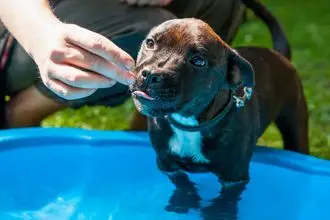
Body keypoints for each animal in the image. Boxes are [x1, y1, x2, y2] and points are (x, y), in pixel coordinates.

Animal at [128, 18, 306, 219]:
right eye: (150, 43)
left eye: (198, 61)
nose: (150, 74)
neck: (190, 124)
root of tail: (278, 54)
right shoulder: (167, 164)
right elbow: (183, 184)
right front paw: (185, 201)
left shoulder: (234, 177)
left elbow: (227, 200)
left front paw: (217, 212)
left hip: (295, 125)